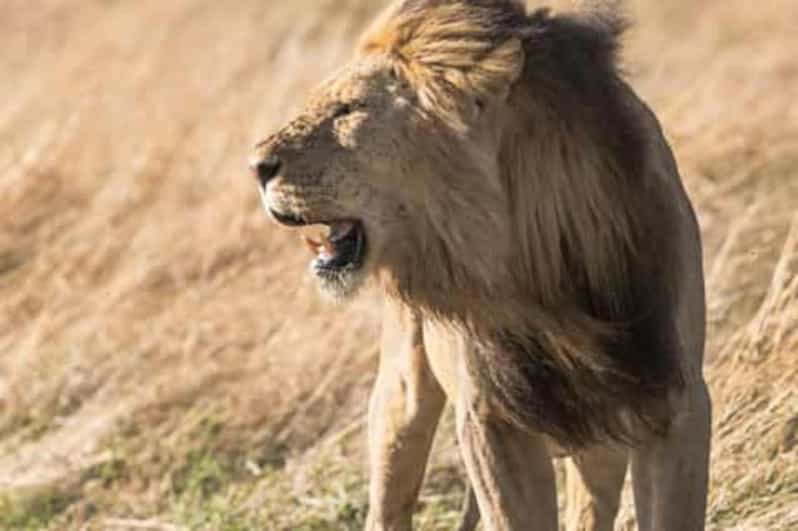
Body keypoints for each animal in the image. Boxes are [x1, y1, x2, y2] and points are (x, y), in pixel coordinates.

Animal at [249, 1, 711, 529]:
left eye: (350, 109)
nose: (256, 167)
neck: (541, 272)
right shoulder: (491, 420)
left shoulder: (674, 400)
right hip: (402, 394)